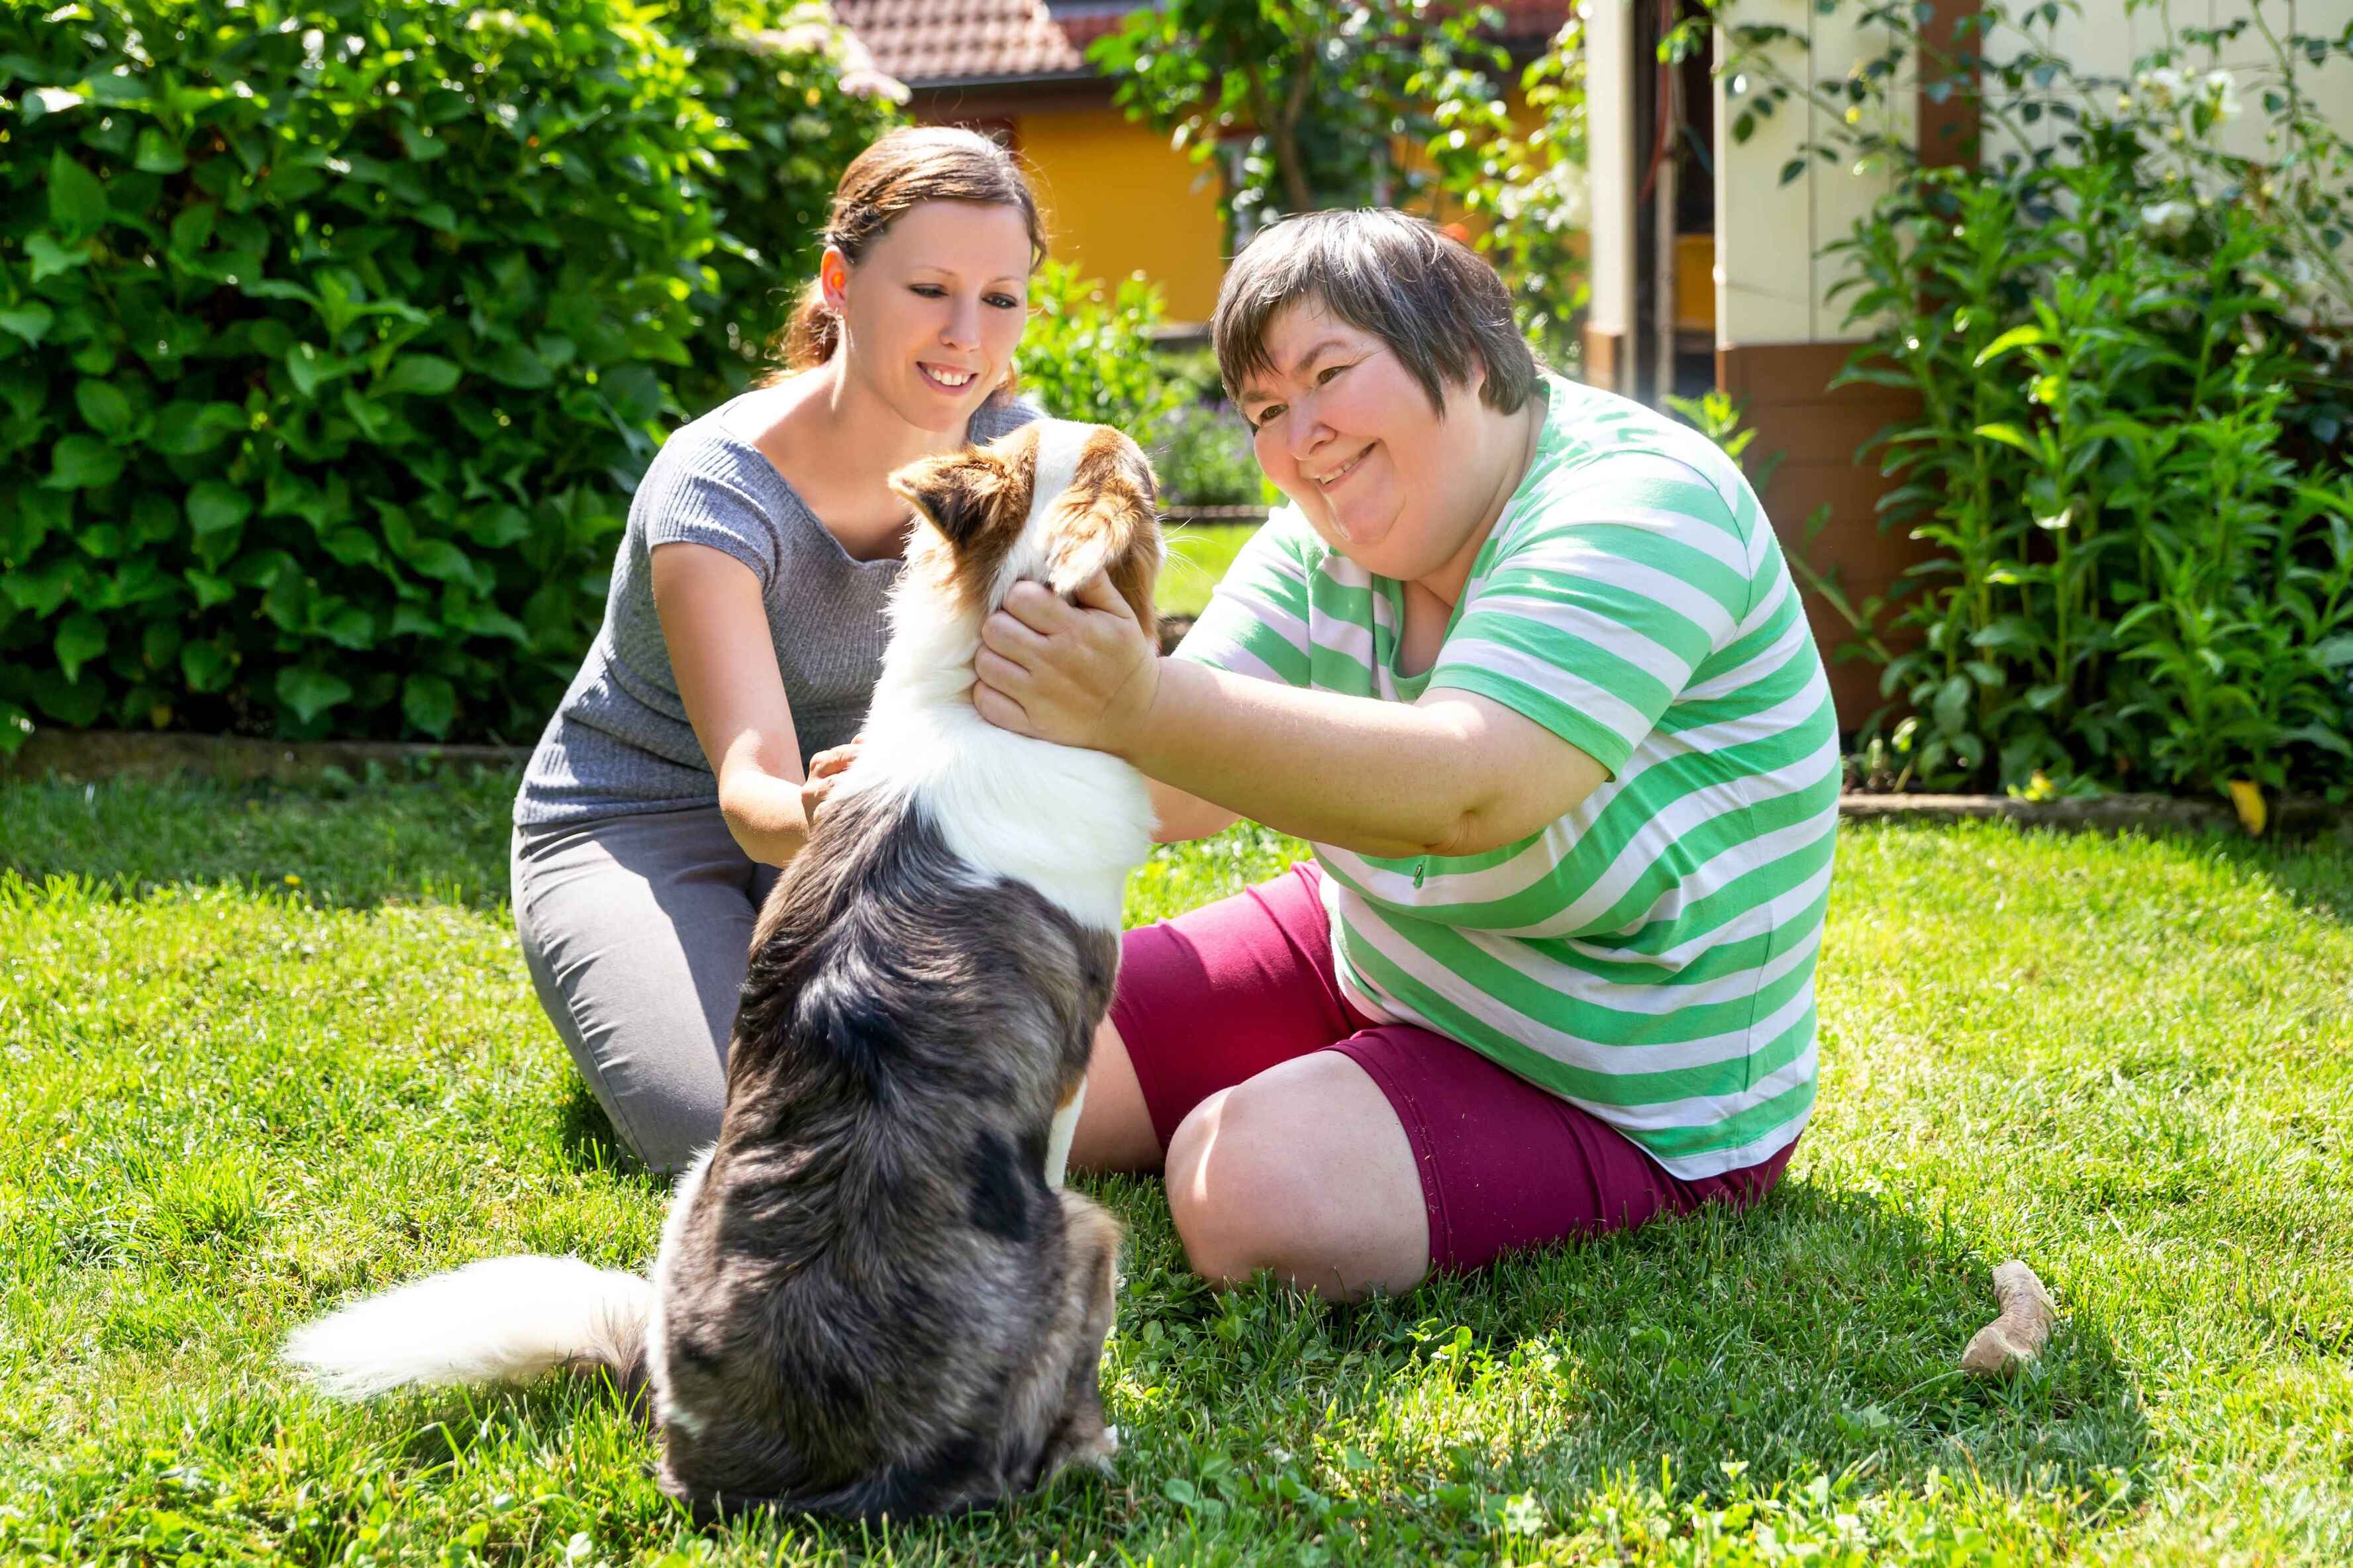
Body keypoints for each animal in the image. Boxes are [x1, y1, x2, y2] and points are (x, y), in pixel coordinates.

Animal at [287, 414, 1167, 1516]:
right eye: (1145, 485)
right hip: (1088, 1233)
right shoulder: (1064, 1088)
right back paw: (1096, 1448)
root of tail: (760, 1479)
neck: (976, 690)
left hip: (692, 1184)